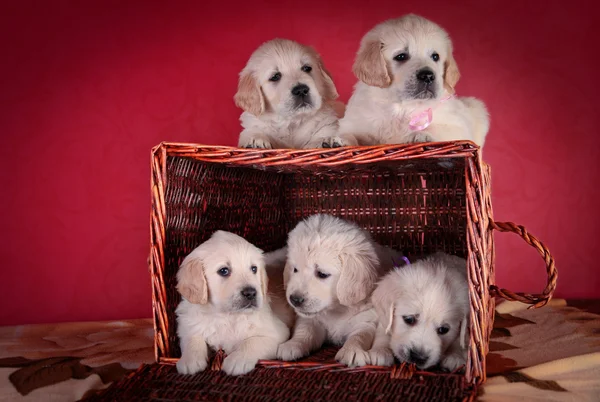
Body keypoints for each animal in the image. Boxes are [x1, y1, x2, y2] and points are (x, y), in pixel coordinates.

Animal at [175, 231, 294, 376]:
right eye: (224, 271)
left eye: (253, 269)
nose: (251, 293)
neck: (227, 316)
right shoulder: (186, 325)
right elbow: (192, 337)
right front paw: (189, 359)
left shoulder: (277, 334)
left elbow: (252, 341)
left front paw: (237, 359)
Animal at [278, 215, 400, 366]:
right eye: (295, 269)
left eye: (322, 274)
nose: (294, 299)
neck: (337, 309)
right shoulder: (313, 320)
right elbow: (305, 330)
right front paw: (293, 344)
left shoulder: (365, 320)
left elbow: (358, 336)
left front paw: (351, 351)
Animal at [338, 14, 488, 149]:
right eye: (401, 56)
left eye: (435, 57)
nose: (428, 76)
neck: (401, 108)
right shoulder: (355, 123)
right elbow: (355, 134)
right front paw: (341, 139)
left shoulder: (457, 127)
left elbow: (437, 130)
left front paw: (420, 135)